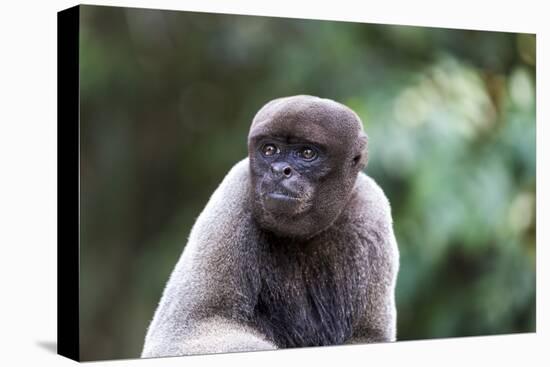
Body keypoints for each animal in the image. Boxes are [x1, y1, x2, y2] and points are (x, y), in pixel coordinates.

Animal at [142, 95, 402, 360]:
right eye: (269, 150)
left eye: (307, 153)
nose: (279, 170)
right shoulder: (234, 192)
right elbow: (188, 331)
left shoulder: (372, 212)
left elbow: (369, 336)